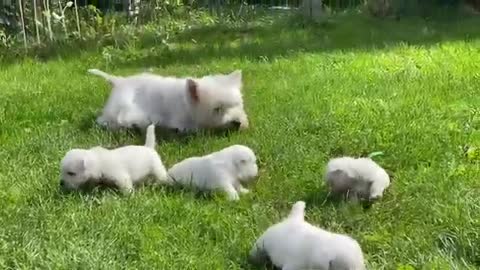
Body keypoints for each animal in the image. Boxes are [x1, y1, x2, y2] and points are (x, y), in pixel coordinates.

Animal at [87, 68, 249, 133]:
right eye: (217, 109)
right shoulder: (181, 121)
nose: (237, 122)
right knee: (105, 120)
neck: (186, 105)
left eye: (237, 105)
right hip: (120, 109)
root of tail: (119, 81)